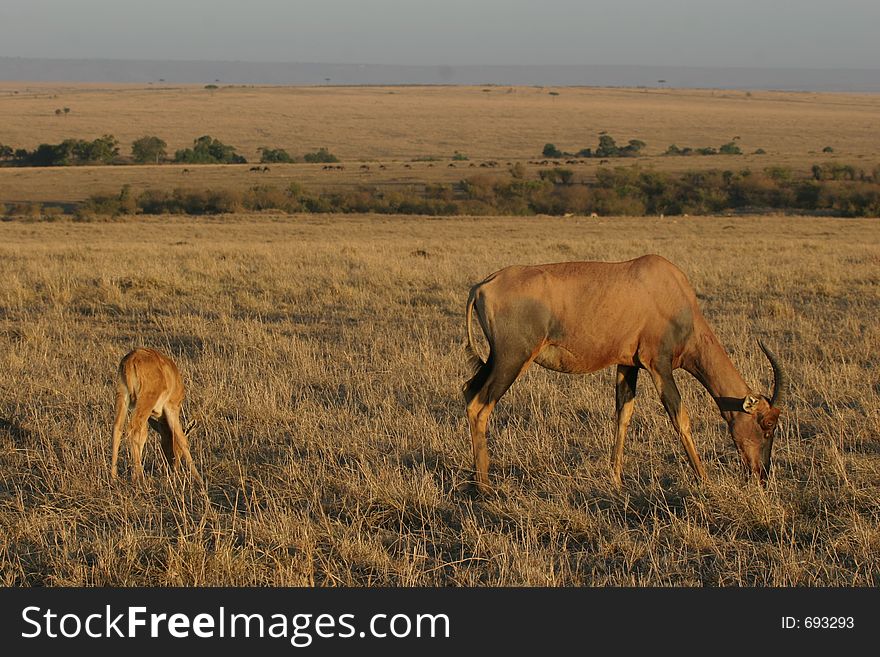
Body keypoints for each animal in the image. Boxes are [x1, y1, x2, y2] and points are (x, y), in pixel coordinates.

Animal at [110, 348, 201, 482]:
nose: (175, 469)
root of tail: (132, 359)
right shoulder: (171, 408)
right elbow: (181, 437)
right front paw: (199, 478)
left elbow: (143, 436)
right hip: (145, 402)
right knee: (132, 428)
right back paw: (140, 478)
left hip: (122, 396)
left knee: (117, 428)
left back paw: (114, 477)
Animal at [464, 255, 788, 492]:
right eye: (767, 425)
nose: (761, 476)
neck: (668, 289)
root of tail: (482, 286)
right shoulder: (659, 365)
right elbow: (680, 417)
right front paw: (705, 481)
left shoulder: (628, 365)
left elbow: (623, 415)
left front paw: (617, 481)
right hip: (512, 359)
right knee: (480, 406)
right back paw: (485, 488)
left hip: (496, 359)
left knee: (468, 391)